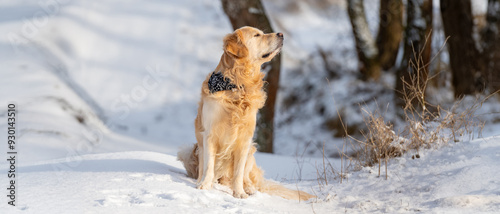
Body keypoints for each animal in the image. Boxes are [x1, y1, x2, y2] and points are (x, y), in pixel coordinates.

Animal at [178, 26, 314, 201]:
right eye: (257, 35)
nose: (281, 34)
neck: (237, 84)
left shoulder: (244, 139)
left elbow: (238, 173)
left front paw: (239, 193)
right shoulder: (209, 135)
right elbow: (208, 165)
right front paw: (204, 185)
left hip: (251, 149)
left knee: (246, 177)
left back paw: (249, 188)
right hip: (188, 151)